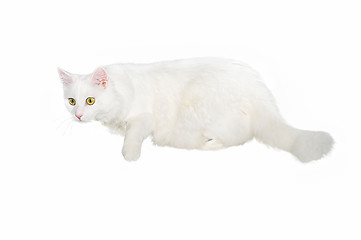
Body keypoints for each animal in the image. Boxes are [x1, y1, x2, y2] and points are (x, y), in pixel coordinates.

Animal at [58, 57, 332, 161]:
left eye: (90, 100)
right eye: (71, 102)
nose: (78, 116)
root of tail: (262, 96)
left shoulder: (144, 118)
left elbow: (132, 137)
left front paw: (130, 155)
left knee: (239, 137)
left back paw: (207, 145)